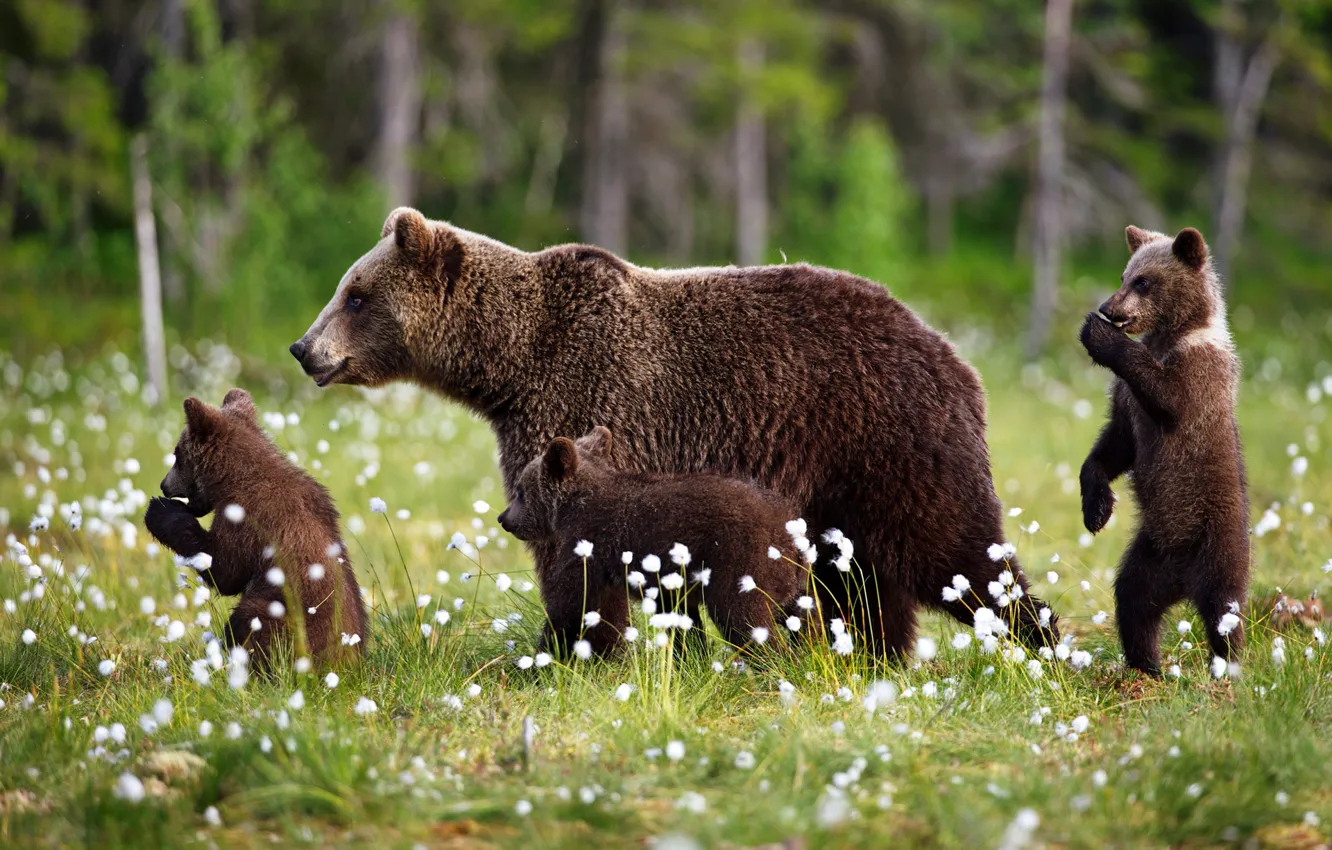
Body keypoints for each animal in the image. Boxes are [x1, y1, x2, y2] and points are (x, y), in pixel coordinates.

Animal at [294, 207, 1060, 660]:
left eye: (355, 296)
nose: (305, 349)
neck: (509, 366)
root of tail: (955, 354)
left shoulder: (583, 400)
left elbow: (568, 554)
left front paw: (566, 649)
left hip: (890, 439)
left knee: (954, 551)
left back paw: (1040, 639)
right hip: (841, 483)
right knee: (866, 577)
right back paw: (866, 652)